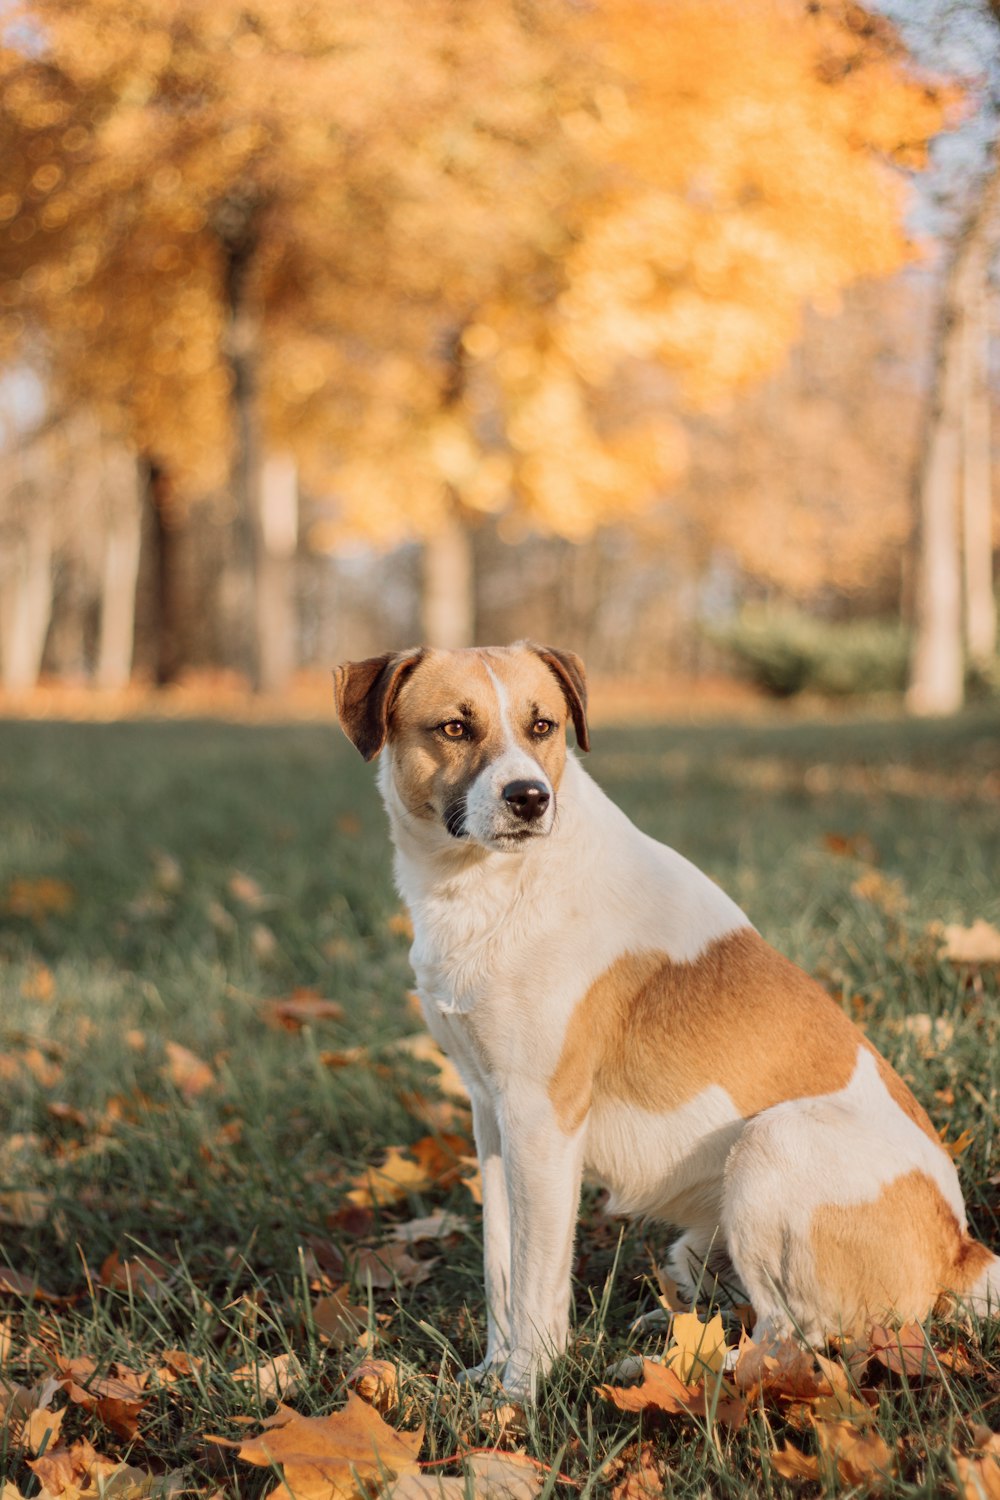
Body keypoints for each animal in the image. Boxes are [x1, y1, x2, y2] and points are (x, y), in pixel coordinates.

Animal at [334, 639, 995, 1398]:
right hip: (700, 1241)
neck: (490, 886)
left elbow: (534, 1279)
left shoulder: (541, 1118)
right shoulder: (489, 1112)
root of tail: (961, 1248)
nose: (530, 797)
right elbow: (501, 1265)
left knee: (796, 1344)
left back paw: (681, 1375)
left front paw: (520, 1393)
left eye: (543, 725)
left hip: (769, 1146)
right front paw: (489, 1375)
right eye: (454, 727)